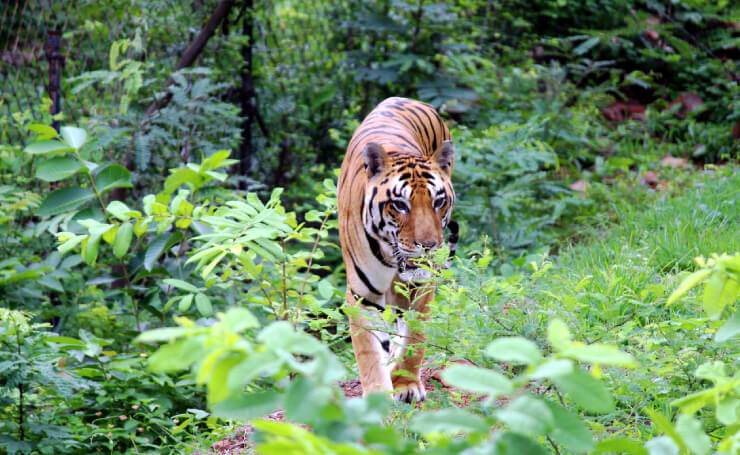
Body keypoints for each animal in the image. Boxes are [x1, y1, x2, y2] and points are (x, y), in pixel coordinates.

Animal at [340, 97, 456, 402]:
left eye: (438, 201)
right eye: (400, 204)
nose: (428, 246)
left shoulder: (423, 286)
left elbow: (415, 337)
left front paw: (405, 383)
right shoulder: (362, 295)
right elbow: (369, 352)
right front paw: (377, 396)